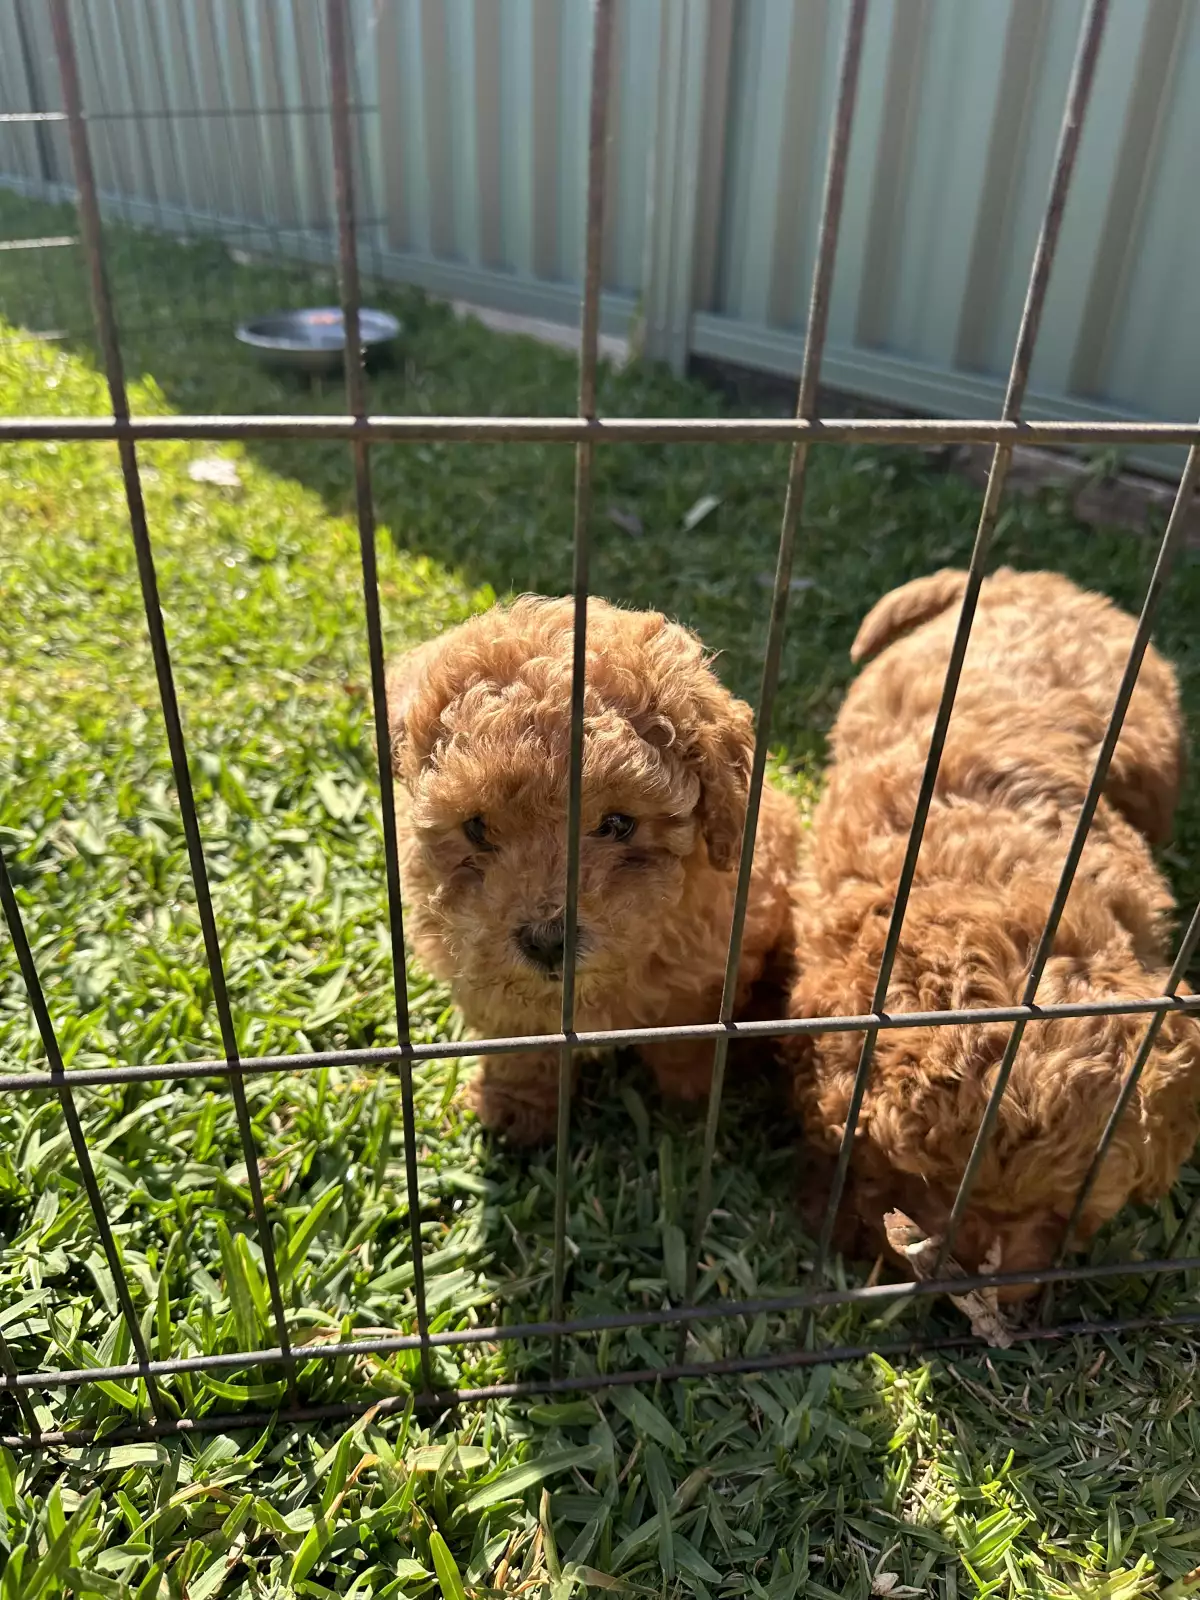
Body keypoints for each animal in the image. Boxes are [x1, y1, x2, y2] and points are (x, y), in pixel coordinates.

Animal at [388, 595, 800, 1143]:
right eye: (476, 828)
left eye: (619, 824)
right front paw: (515, 1108)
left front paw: (691, 1101)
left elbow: (686, 1038)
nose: (547, 940)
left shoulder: (701, 975)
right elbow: (518, 1042)